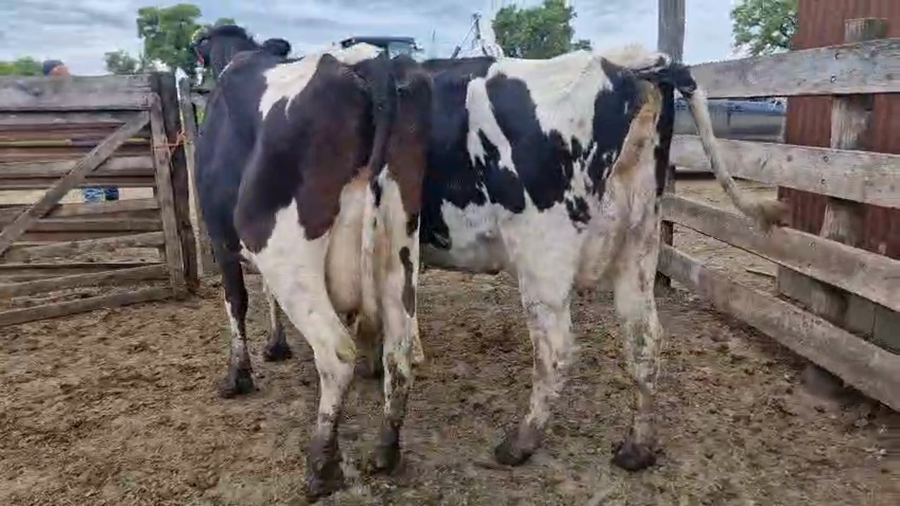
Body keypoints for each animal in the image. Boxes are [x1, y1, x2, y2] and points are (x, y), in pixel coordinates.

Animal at [193, 39, 433, 500]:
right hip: (399, 242)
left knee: (337, 353)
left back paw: (322, 465)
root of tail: (368, 60)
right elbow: (265, 297)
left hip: (282, 247)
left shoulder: (220, 241)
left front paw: (237, 376)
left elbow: (237, 303)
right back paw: (385, 451)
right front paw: (276, 346)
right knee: (399, 350)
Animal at [414, 45, 784, 472]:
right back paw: (636, 448)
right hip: (640, 242)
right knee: (645, 338)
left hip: (543, 256)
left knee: (555, 350)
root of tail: (629, 62)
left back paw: (520, 443)